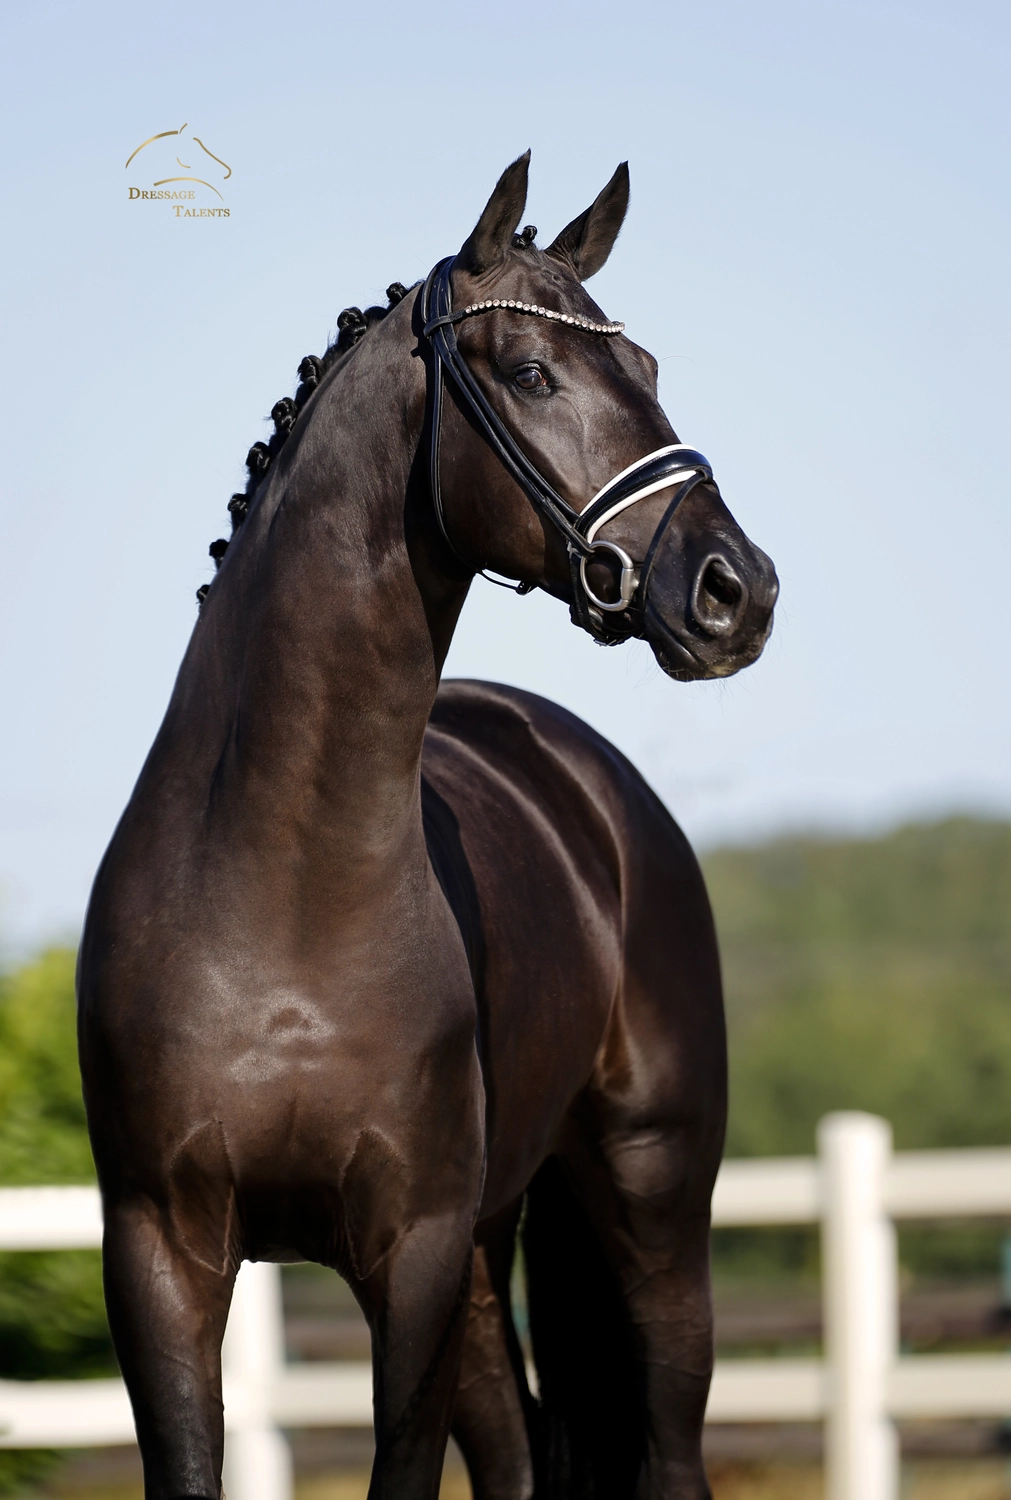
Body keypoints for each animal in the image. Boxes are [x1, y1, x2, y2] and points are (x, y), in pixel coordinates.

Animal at [78, 153, 778, 1500]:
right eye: (533, 372)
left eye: (648, 365)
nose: (737, 588)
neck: (285, 899)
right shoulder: (160, 1253)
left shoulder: (413, 1254)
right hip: (494, 1257)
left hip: (651, 1205)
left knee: (669, 1448)